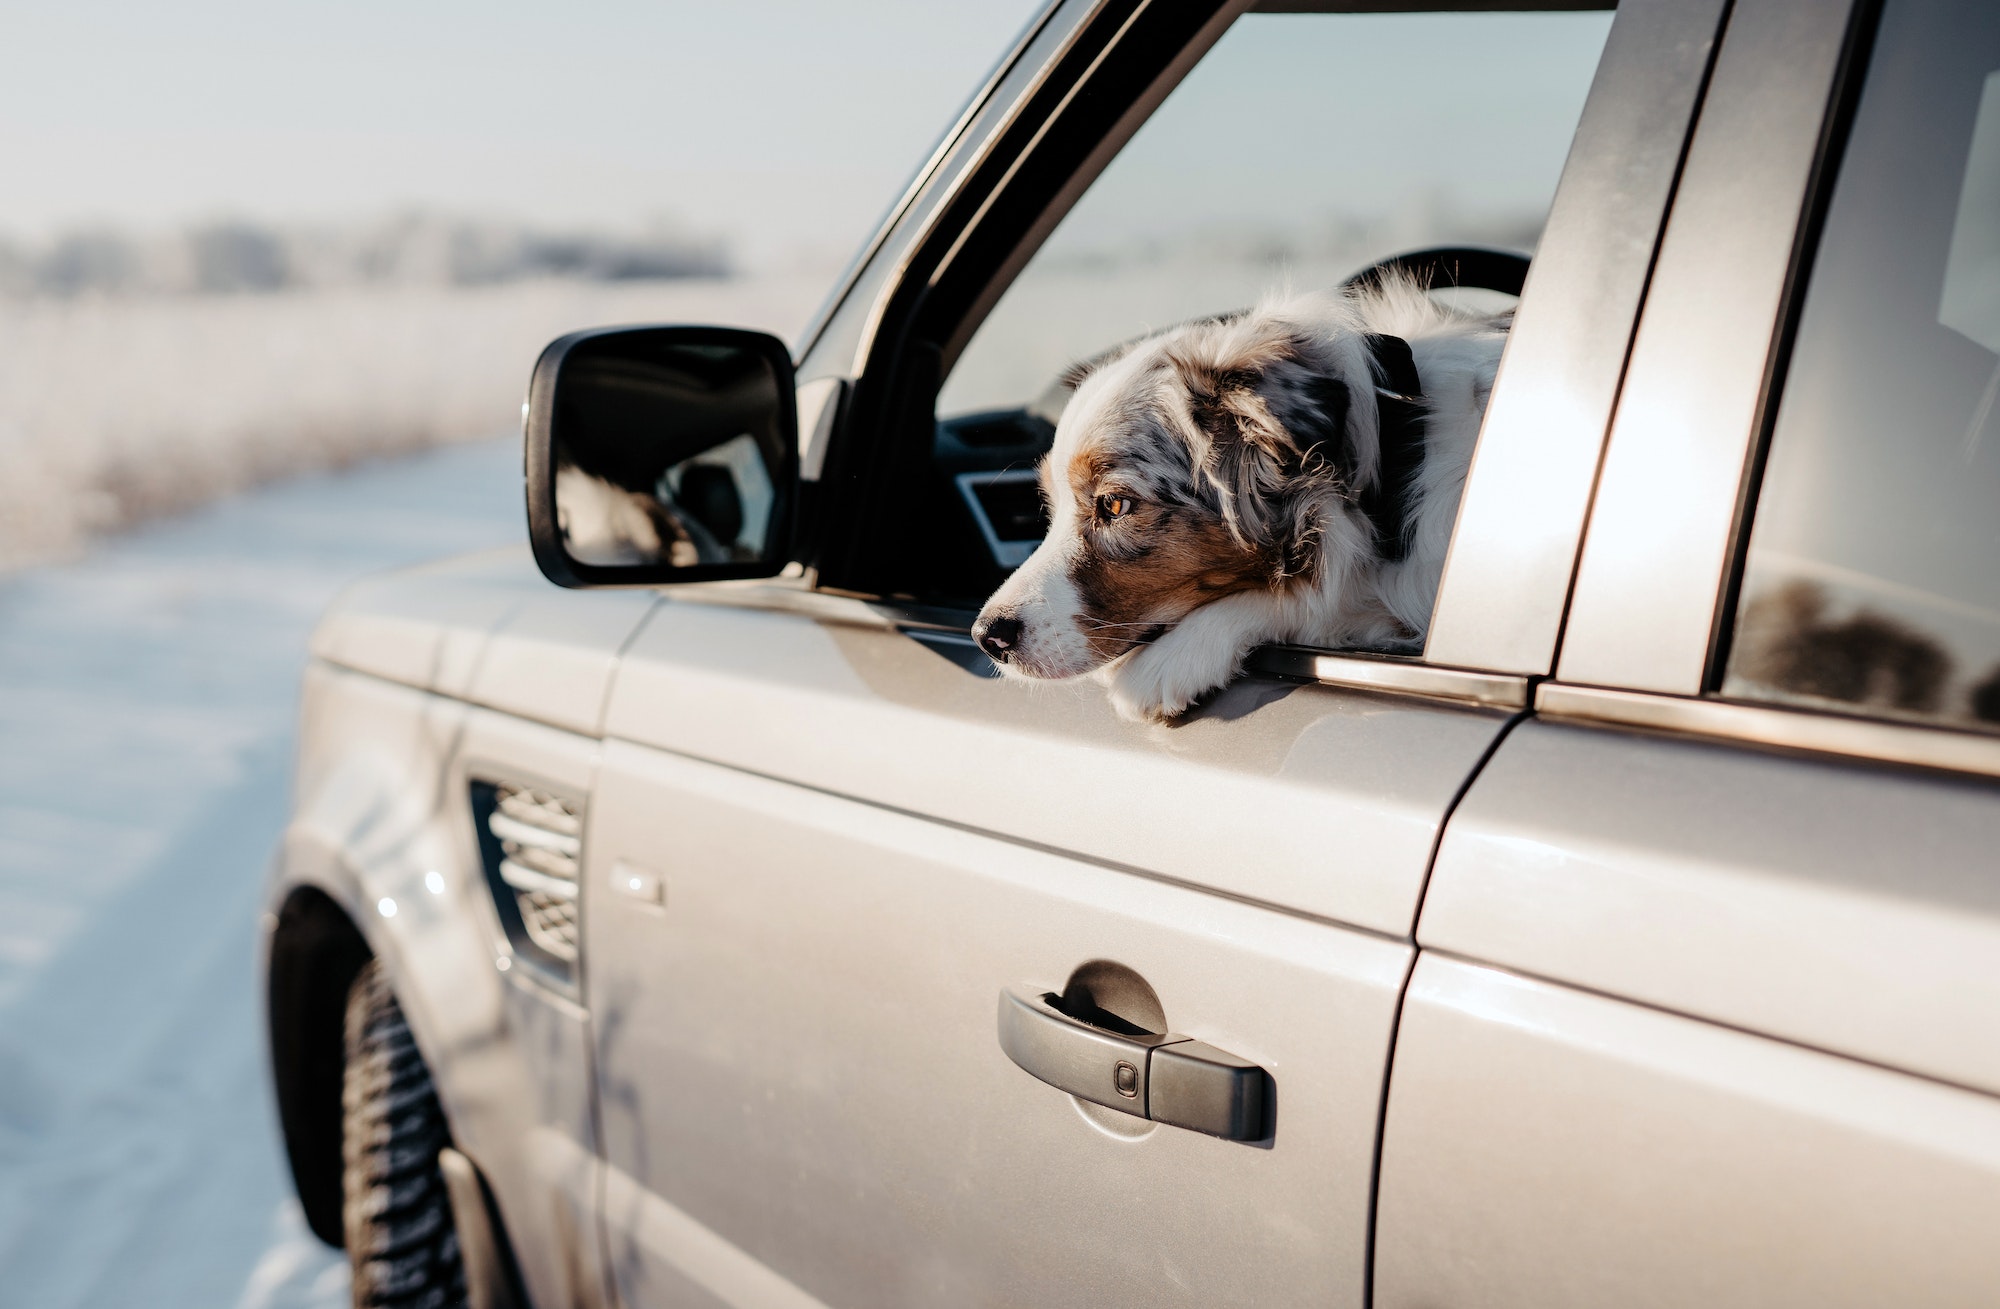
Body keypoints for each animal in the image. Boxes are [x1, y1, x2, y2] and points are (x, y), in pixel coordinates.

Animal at [964, 276, 1504, 724]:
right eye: (1050, 505)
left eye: (1114, 505)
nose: (986, 636)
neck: (1403, 444)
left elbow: (1320, 592)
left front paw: (1172, 658)